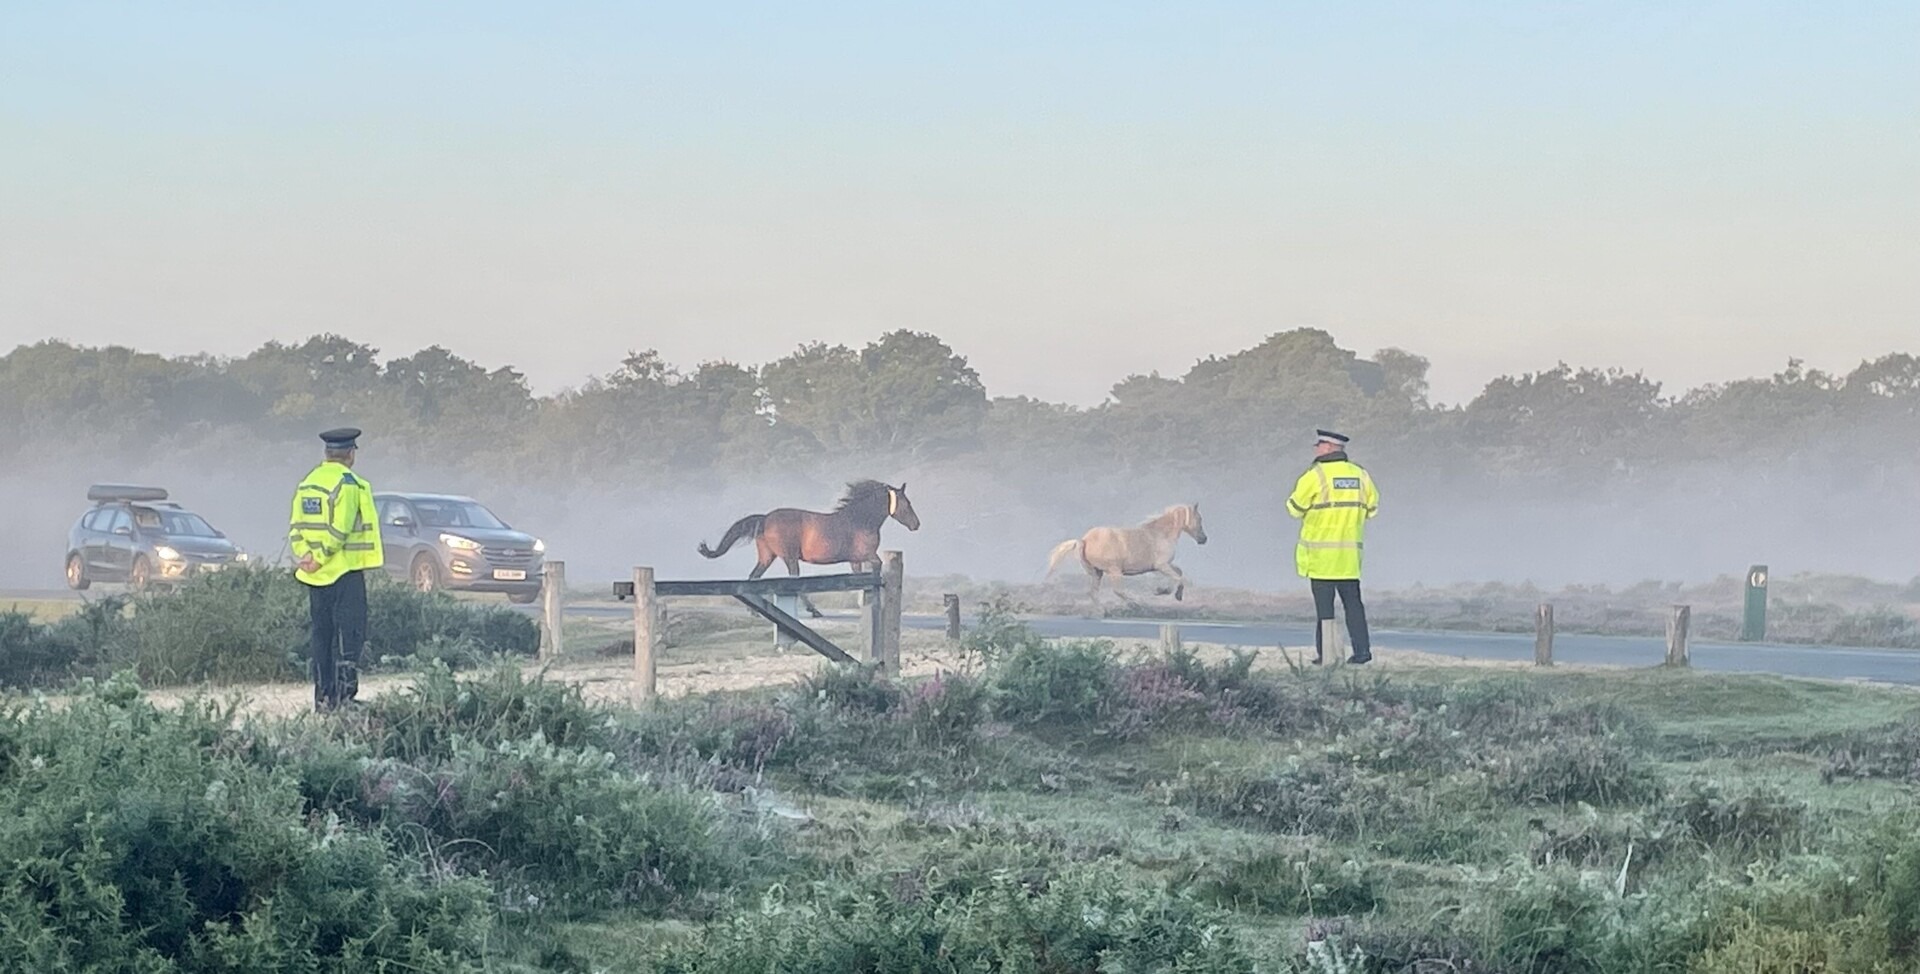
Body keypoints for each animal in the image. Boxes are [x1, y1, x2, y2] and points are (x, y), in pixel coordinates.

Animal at [698, 480, 921, 580]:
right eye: (907, 503)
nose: (916, 524)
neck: (859, 520)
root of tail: (765, 518)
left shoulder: (855, 560)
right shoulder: (868, 555)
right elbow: (878, 566)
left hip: (767, 556)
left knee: (754, 577)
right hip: (789, 557)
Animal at [1045, 503, 1207, 602]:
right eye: (1199, 518)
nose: (1203, 539)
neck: (1160, 534)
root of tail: (1084, 540)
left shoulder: (1162, 566)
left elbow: (1179, 572)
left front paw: (1170, 593)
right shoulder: (1161, 566)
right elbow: (1178, 577)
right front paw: (1165, 591)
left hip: (1098, 573)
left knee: (1093, 593)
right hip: (1114, 571)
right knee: (1117, 591)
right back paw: (1136, 604)